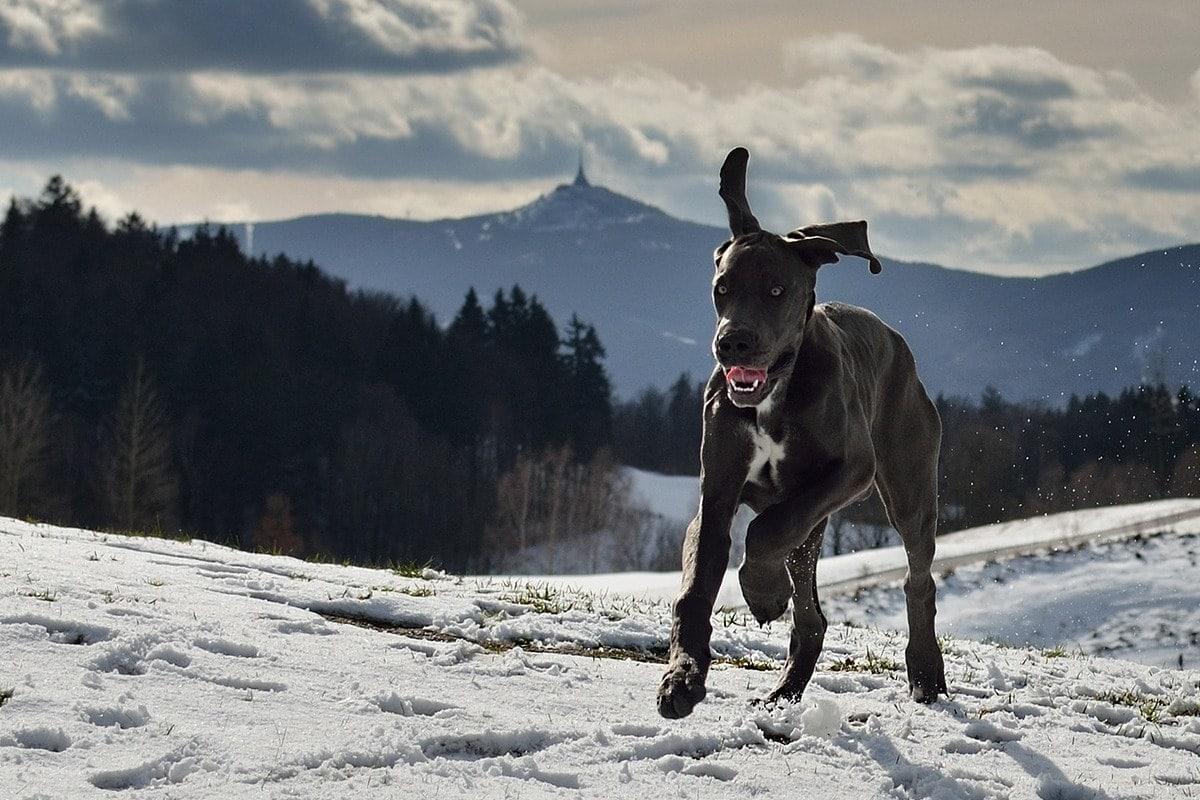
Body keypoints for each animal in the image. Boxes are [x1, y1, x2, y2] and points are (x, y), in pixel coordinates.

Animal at [657, 148, 945, 719]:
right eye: (721, 290)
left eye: (776, 289)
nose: (732, 343)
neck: (774, 395)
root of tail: (898, 344)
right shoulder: (716, 492)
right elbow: (696, 588)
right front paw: (682, 679)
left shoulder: (851, 469)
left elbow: (765, 530)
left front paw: (762, 591)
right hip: (814, 530)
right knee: (812, 617)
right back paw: (784, 691)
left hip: (909, 488)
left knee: (917, 579)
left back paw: (926, 673)